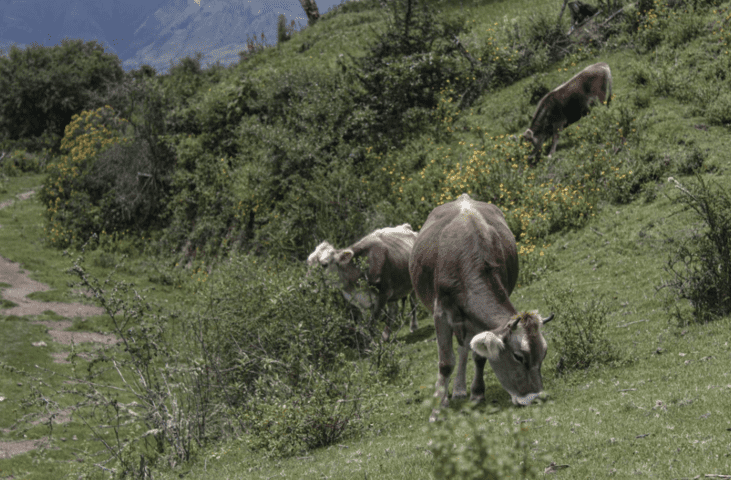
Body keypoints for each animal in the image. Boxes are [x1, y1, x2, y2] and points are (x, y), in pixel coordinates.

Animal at [412, 194, 556, 420]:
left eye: (544, 354)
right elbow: (445, 363)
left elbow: (478, 355)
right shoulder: (440, 312)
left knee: (464, 347)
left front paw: (477, 393)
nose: (534, 398)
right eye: (518, 356)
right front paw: (437, 410)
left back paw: (459, 389)